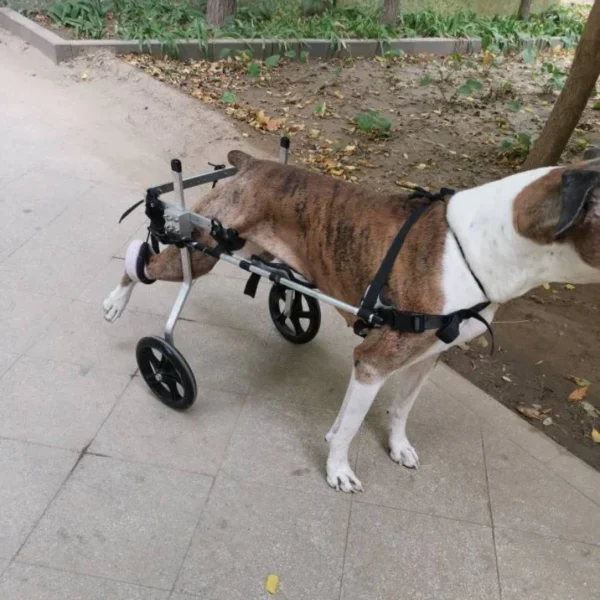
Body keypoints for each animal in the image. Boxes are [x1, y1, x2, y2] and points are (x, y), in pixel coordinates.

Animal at [103, 151, 600, 492]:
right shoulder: (373, 362)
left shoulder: (425, 359)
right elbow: (349, 427)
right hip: (202, 246)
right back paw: (118, 306)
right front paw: (338, 471)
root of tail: (251, 163)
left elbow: (399, 409)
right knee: (143, 260)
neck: (481, 245)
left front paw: (397, 446)